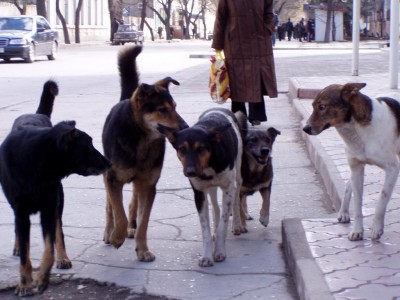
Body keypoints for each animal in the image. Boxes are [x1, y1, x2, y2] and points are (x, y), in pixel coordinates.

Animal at [101, 45, 187, 262]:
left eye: (175, 108)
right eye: (162, 110)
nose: (185, 128)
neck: (141, 138)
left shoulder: (149, 185)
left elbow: (143, 222)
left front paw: (143, 249)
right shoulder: (113, 179)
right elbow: (119, 213)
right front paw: (117, 237)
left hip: (139, 181)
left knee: (133, 203)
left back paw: (130, 229)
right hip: (108, 175)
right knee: (110, 206)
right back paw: (109, 231)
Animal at [304, 82, 400, 241]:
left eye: (322, 106)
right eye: (312, 106)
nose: (305, 128)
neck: (357, 130)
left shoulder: (392, 169)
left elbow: (381, 201)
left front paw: (376, 228)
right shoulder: (356, 168)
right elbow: (357, 204)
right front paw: (357, 231)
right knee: (348, 185)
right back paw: (343, 212)